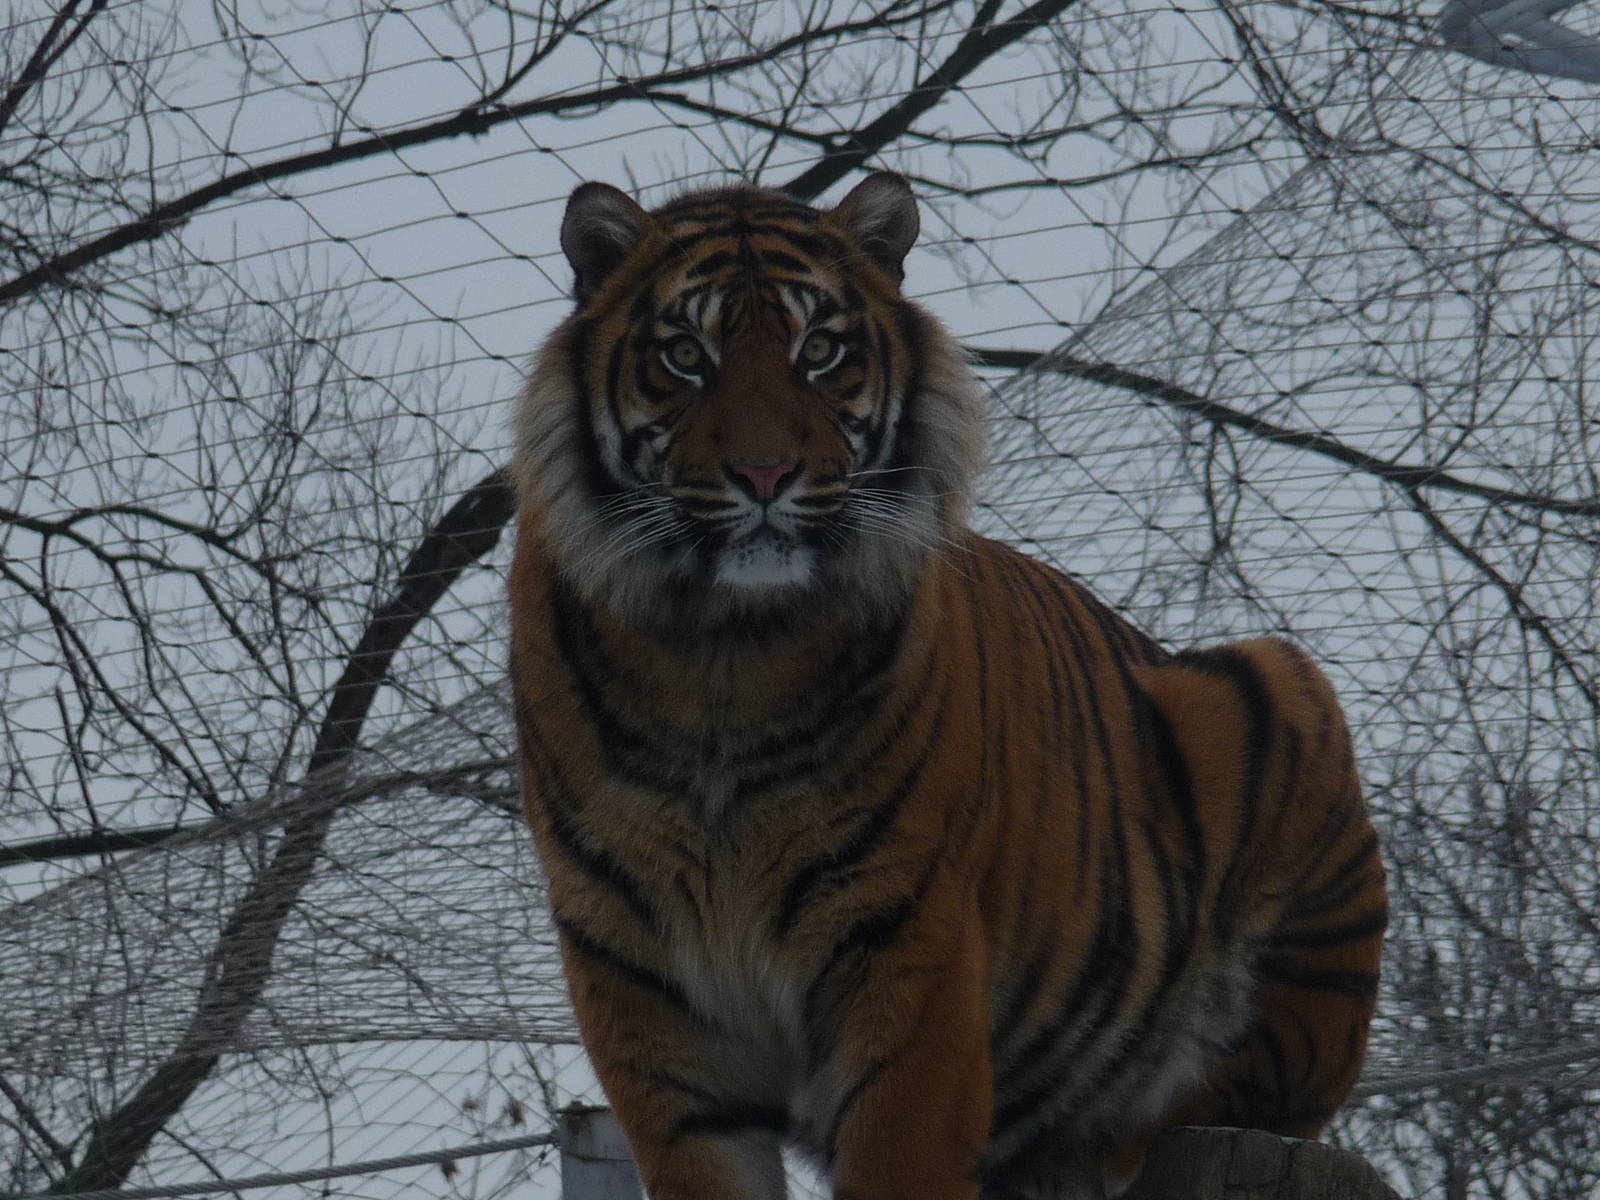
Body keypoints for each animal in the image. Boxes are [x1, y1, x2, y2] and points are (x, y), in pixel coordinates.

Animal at [506, 171, 1387, 1200]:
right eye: (686, 355)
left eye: (820, 351)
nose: (765, 474)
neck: (724, 655)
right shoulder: (641, 988)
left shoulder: (905, 947)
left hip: (1281, 703)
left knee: (1250, 1092)